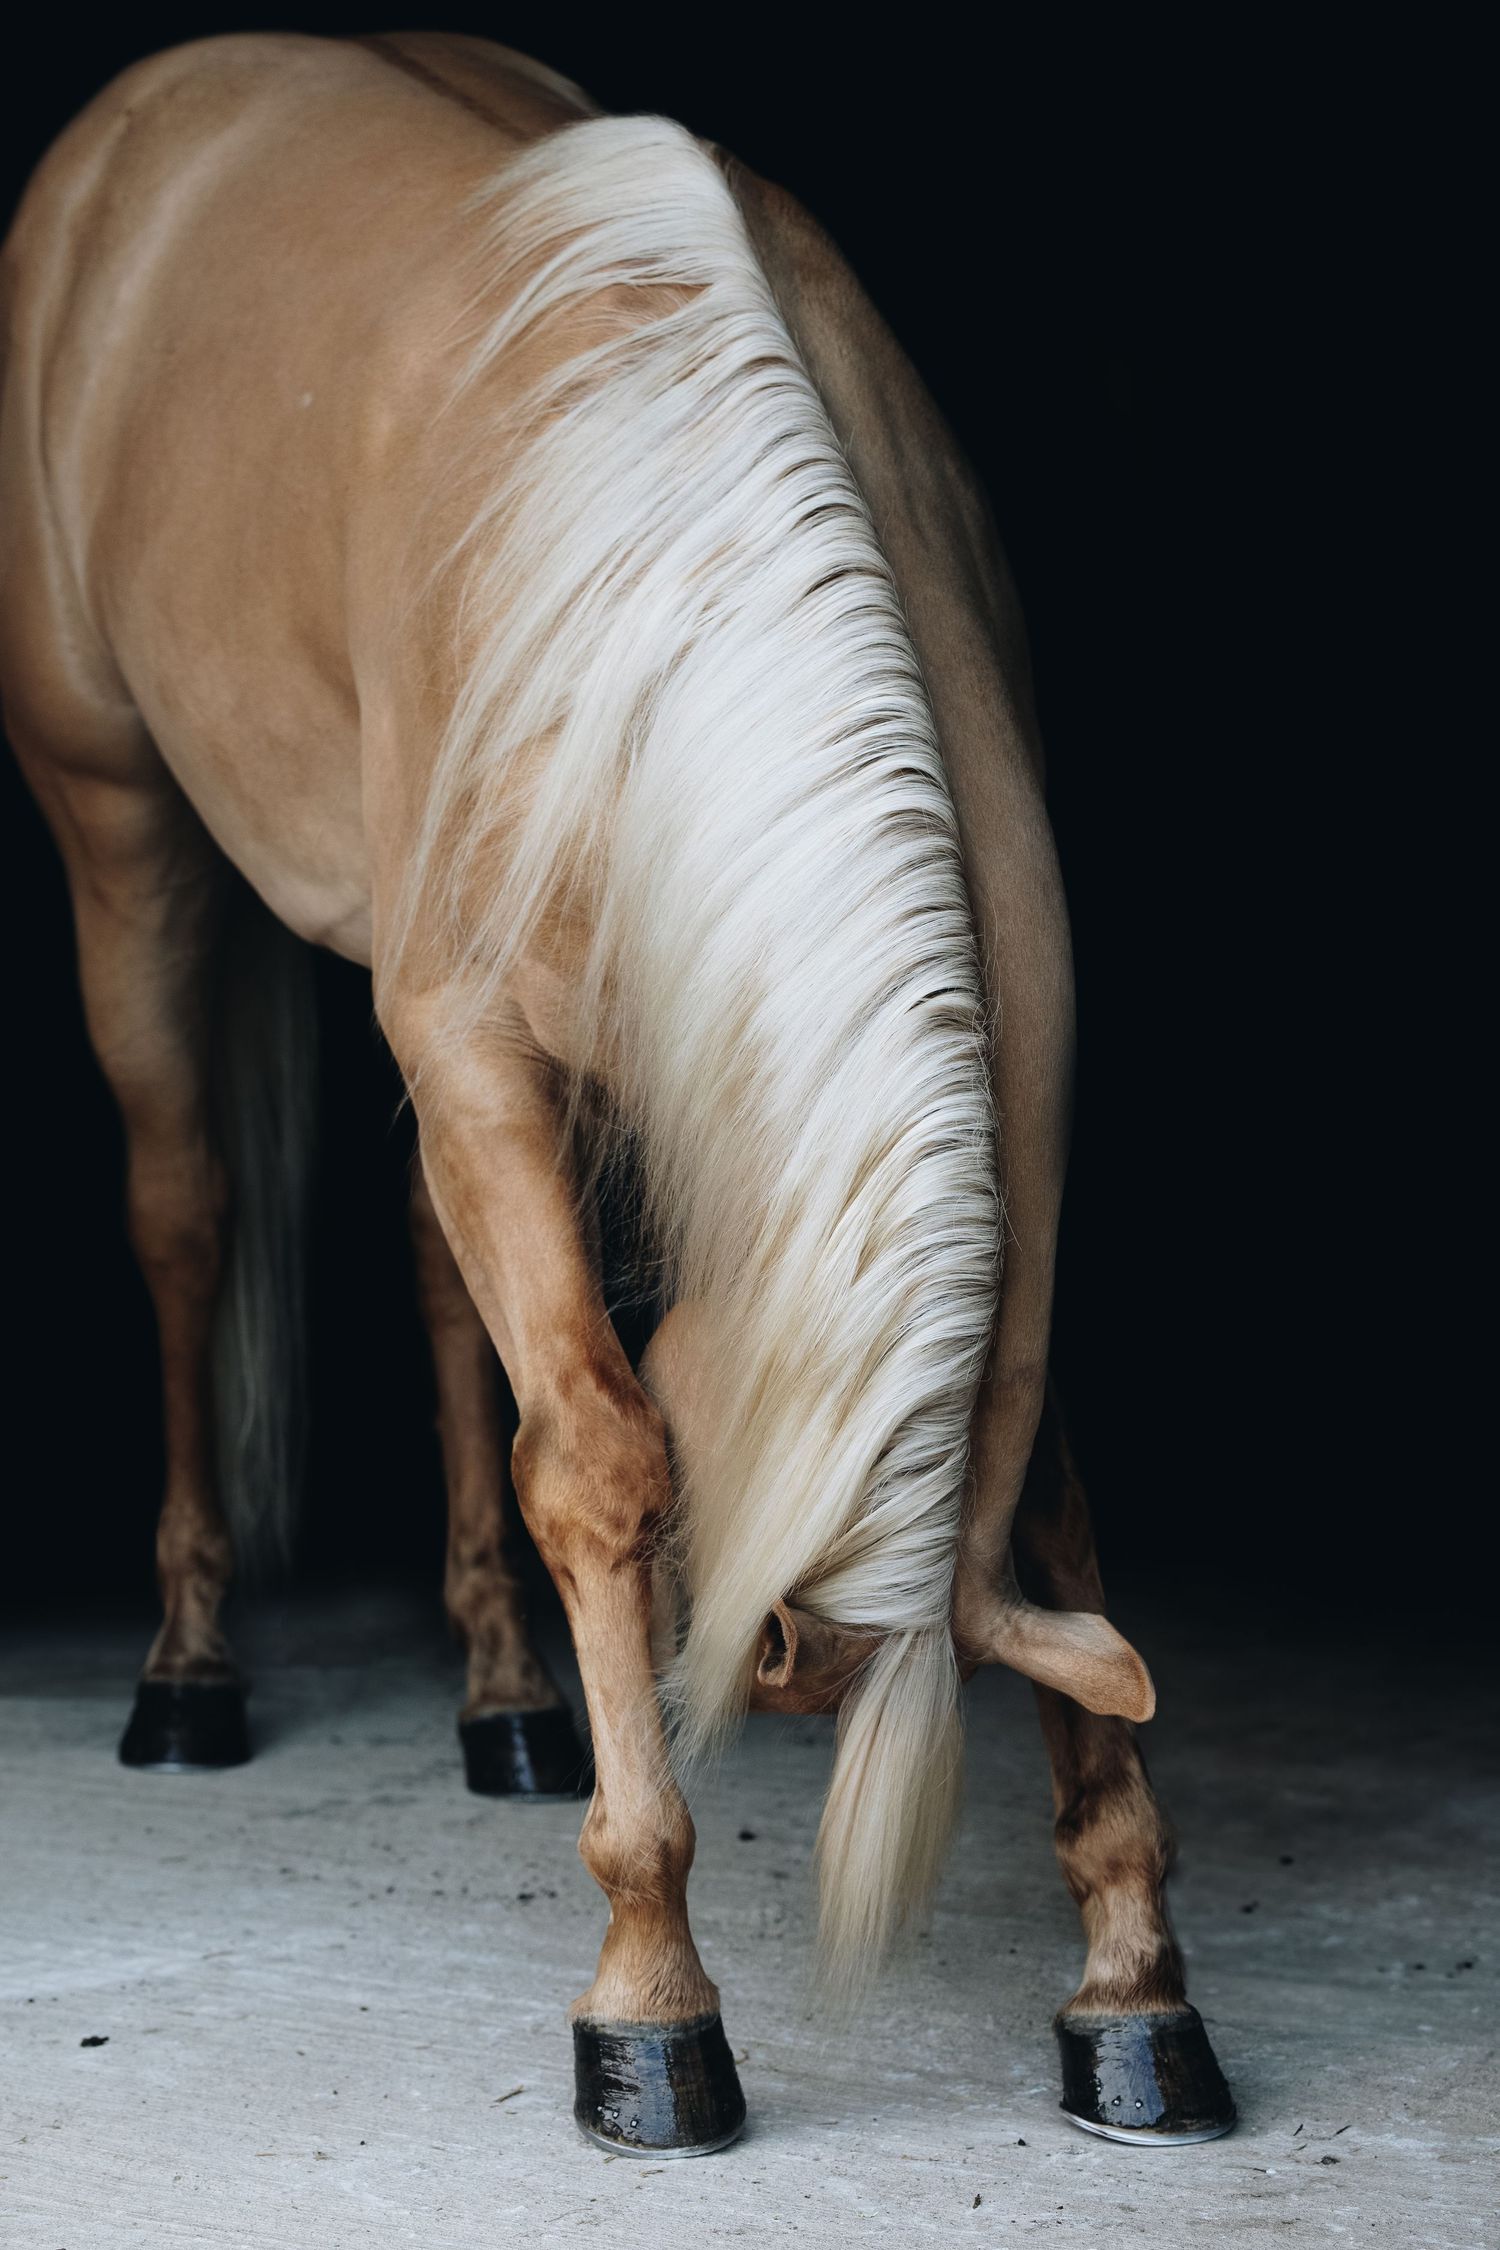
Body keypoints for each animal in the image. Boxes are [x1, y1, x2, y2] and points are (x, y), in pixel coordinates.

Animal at [0, 31, 1235, 2157]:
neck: (683, 571)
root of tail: (142, 117)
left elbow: (1060, 1514)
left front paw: (1134, 1985)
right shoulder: (476, 1045)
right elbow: (597, 1461)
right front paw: (651, 2003)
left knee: (427, 1271)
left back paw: (505, 1699)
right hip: (119, 832)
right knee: (183, 1222)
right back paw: (188, 1673)